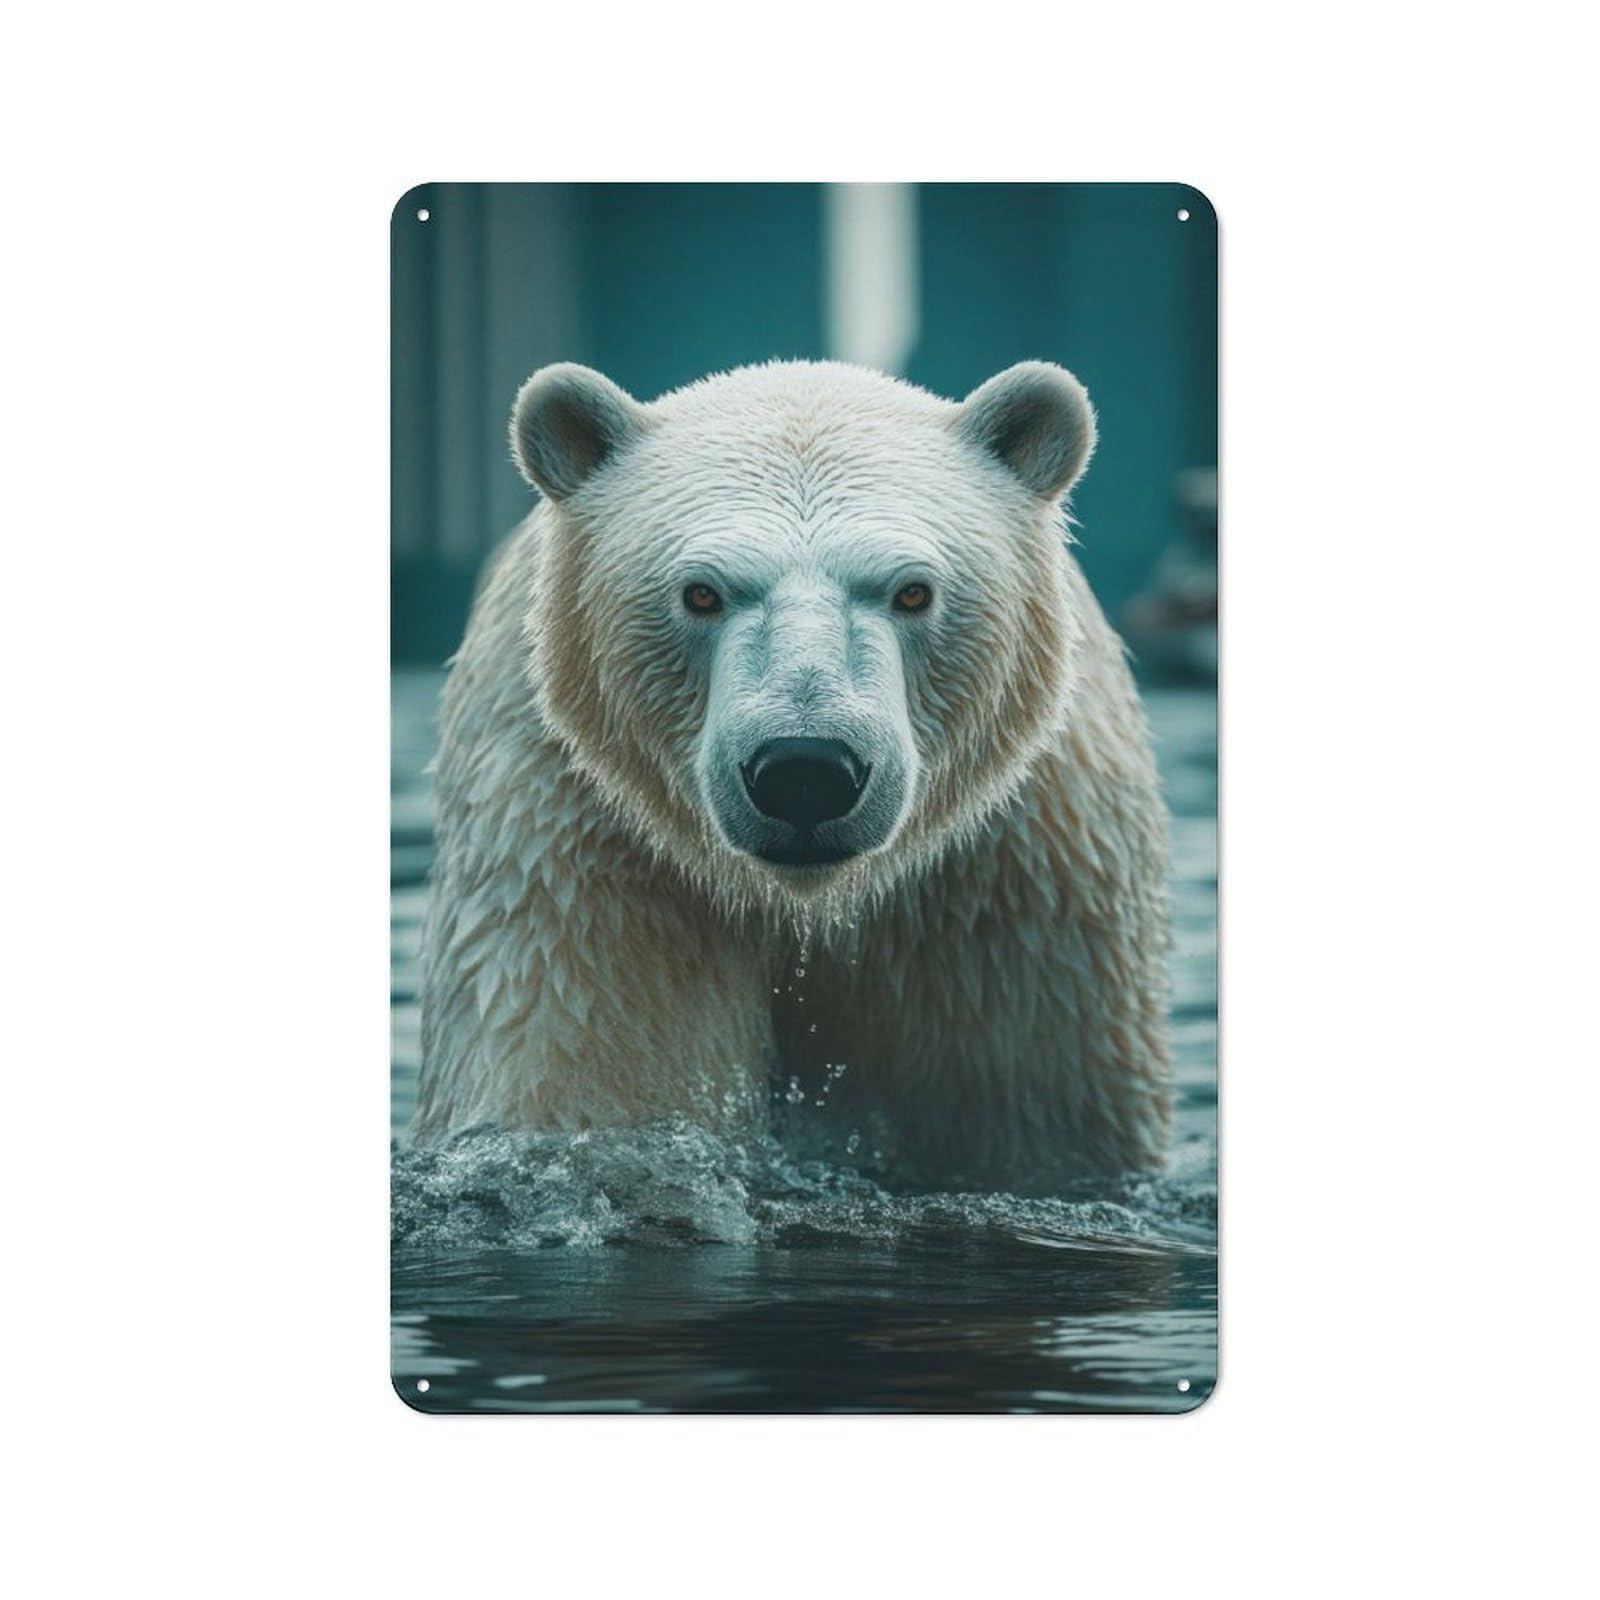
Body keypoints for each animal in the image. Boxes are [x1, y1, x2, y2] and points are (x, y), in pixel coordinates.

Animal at [412, 359, 1172, 1190]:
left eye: (913, 590)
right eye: (701, 592)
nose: (805, 771)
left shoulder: (1009, 880)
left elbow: (1031, 1100)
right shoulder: (583, 847)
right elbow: (588, 1072)